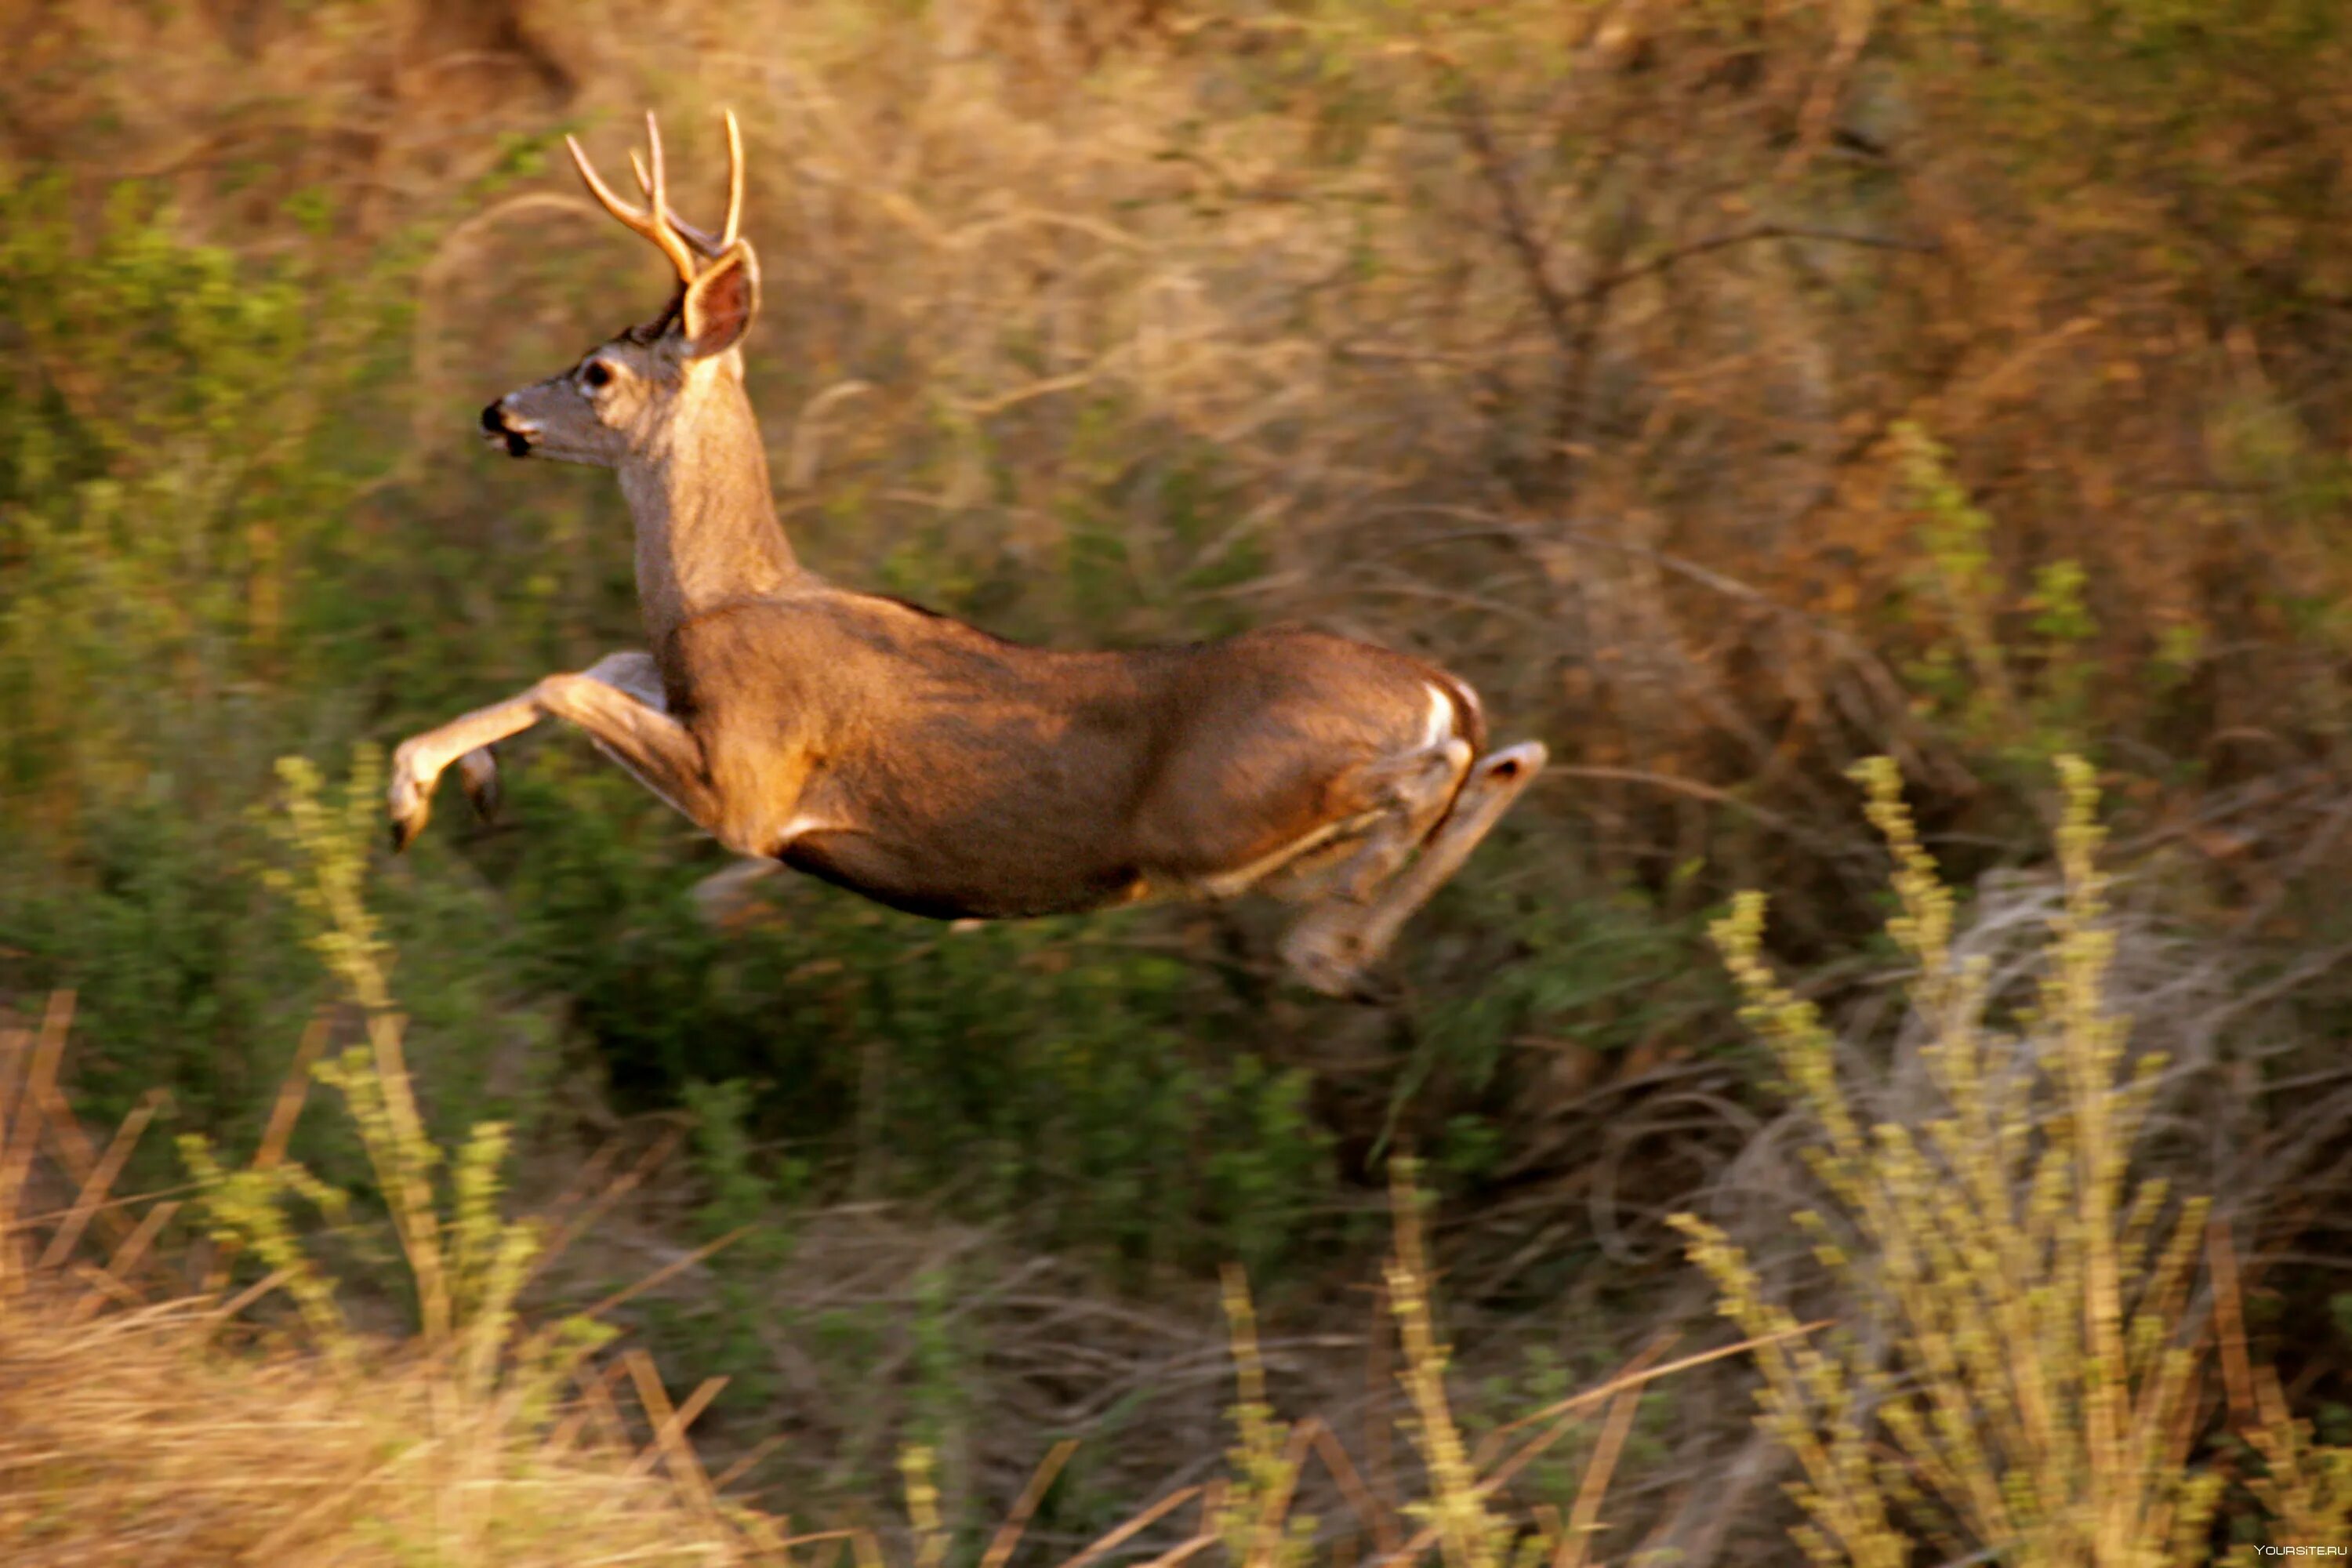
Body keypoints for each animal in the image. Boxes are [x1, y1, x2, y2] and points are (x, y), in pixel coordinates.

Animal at [390, 110, 1543, 1001]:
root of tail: (1442, 688)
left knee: (1443, 772)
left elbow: (569, 681)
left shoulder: (750, 789)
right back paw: (1346, 945)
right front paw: (458, 783)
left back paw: (1326, 941)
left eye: (597, 371)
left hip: (1225, 808)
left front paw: (412, 796)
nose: (496, 411)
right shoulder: (686, 700)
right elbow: (597, 663)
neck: (725, 595)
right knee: (1510, 759)